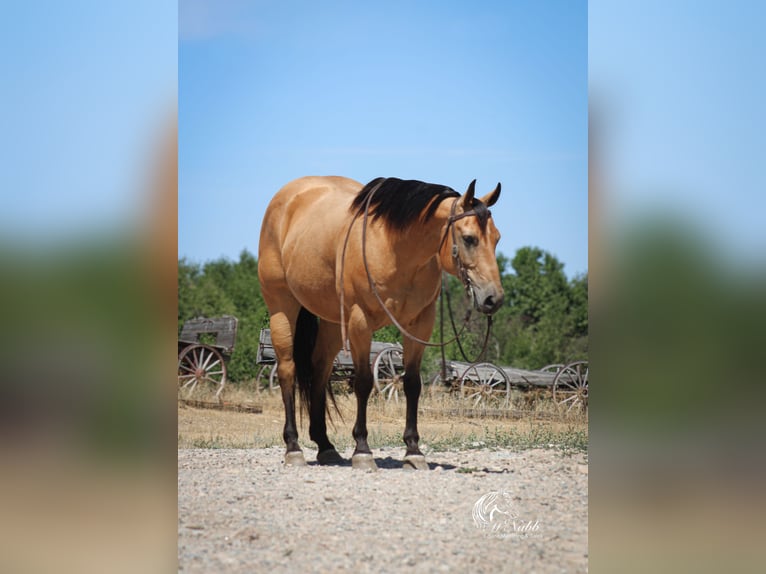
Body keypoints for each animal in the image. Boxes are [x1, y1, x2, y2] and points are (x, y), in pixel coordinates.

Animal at [257, 176, 504, 470]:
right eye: (469, 239)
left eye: (497, 238)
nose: (493, 299)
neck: (395, 249)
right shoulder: (360, 322)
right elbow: (363, 382)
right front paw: (362, 450)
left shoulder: (419, 324)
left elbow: (412, 383)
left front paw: (413, 451)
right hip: (282, 307)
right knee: (287, 370)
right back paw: (293, 447)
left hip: (332, 322)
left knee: (319, 371)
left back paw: (325, 446)